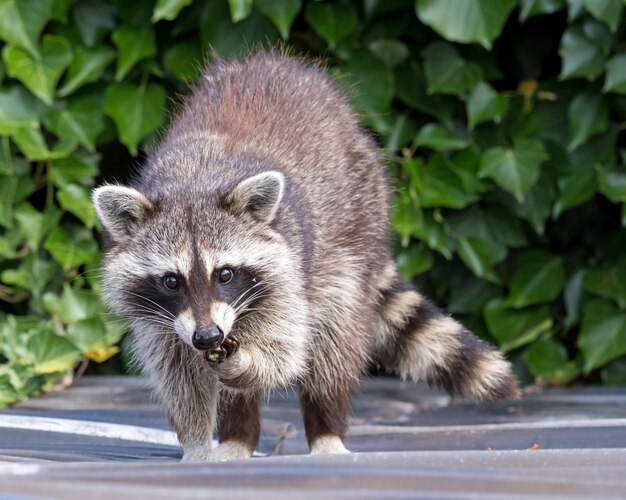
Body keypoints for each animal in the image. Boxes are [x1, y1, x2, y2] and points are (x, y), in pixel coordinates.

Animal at [92, 50, 516, 460]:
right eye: (171, 281)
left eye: (225, 274)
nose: (209, 335)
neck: (194, 183)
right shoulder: (162, 320)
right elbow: (179, 375)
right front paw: (197, 444)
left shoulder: (289, 271)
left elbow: (287, 351)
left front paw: (247, 364)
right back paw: (238, 436)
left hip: (356, 224)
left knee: (333, 341)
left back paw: (325, 429)